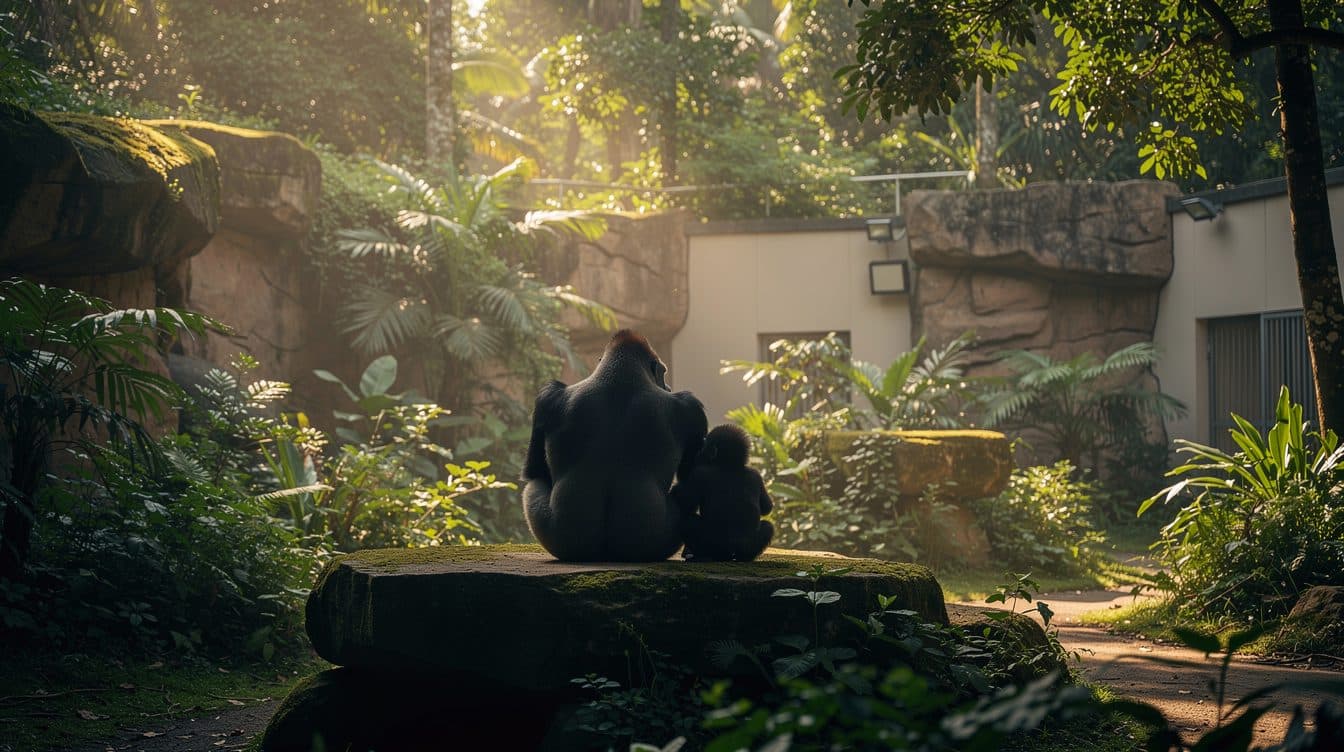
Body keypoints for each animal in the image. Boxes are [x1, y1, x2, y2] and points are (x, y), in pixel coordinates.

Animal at [522, 329, 708, 562]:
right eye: (663, 373)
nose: (667, 386)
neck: (619, 374)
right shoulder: (690, 407)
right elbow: (534, 470)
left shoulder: (547, 398)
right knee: (533, 484)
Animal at [672, 423, 774, 562]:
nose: (700, 453)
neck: (730, 465)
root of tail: (729, 554)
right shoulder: (755, 474)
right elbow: (767, 507)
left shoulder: (701, 474)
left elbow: (682, 499)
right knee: (767, 527)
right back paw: (746, 558)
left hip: (713, 548)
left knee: (688, 521)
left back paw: (699, 556)